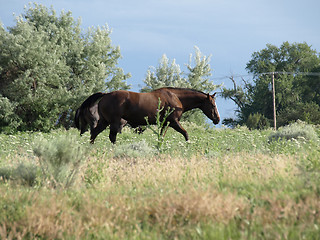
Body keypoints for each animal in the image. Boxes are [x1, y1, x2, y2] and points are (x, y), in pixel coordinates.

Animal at [90, 87, 220, 143]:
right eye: (213, 105)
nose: (217, 119)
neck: (176, 97)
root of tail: (106, 95)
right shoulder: (174, 122)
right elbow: (186, 133)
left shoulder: (164, 124)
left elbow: (161, 136)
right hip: (114, 122)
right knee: (111, 137)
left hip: (105, 122)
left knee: (94, 133)